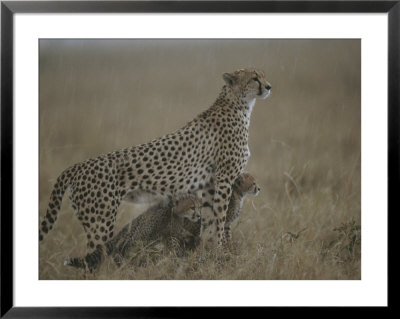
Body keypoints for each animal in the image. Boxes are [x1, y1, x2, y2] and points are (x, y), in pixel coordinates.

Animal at [39, 69, 272, 268]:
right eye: (254, 78)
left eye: (262, 76)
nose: (269, 86)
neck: (239, 105)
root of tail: (76, 166)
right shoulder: (224, 178)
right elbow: (220, 218)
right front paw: (220, 252)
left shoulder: (209, 183)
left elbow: (209, 220)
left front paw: (208, 252)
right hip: (100, 221)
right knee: (95, 259)